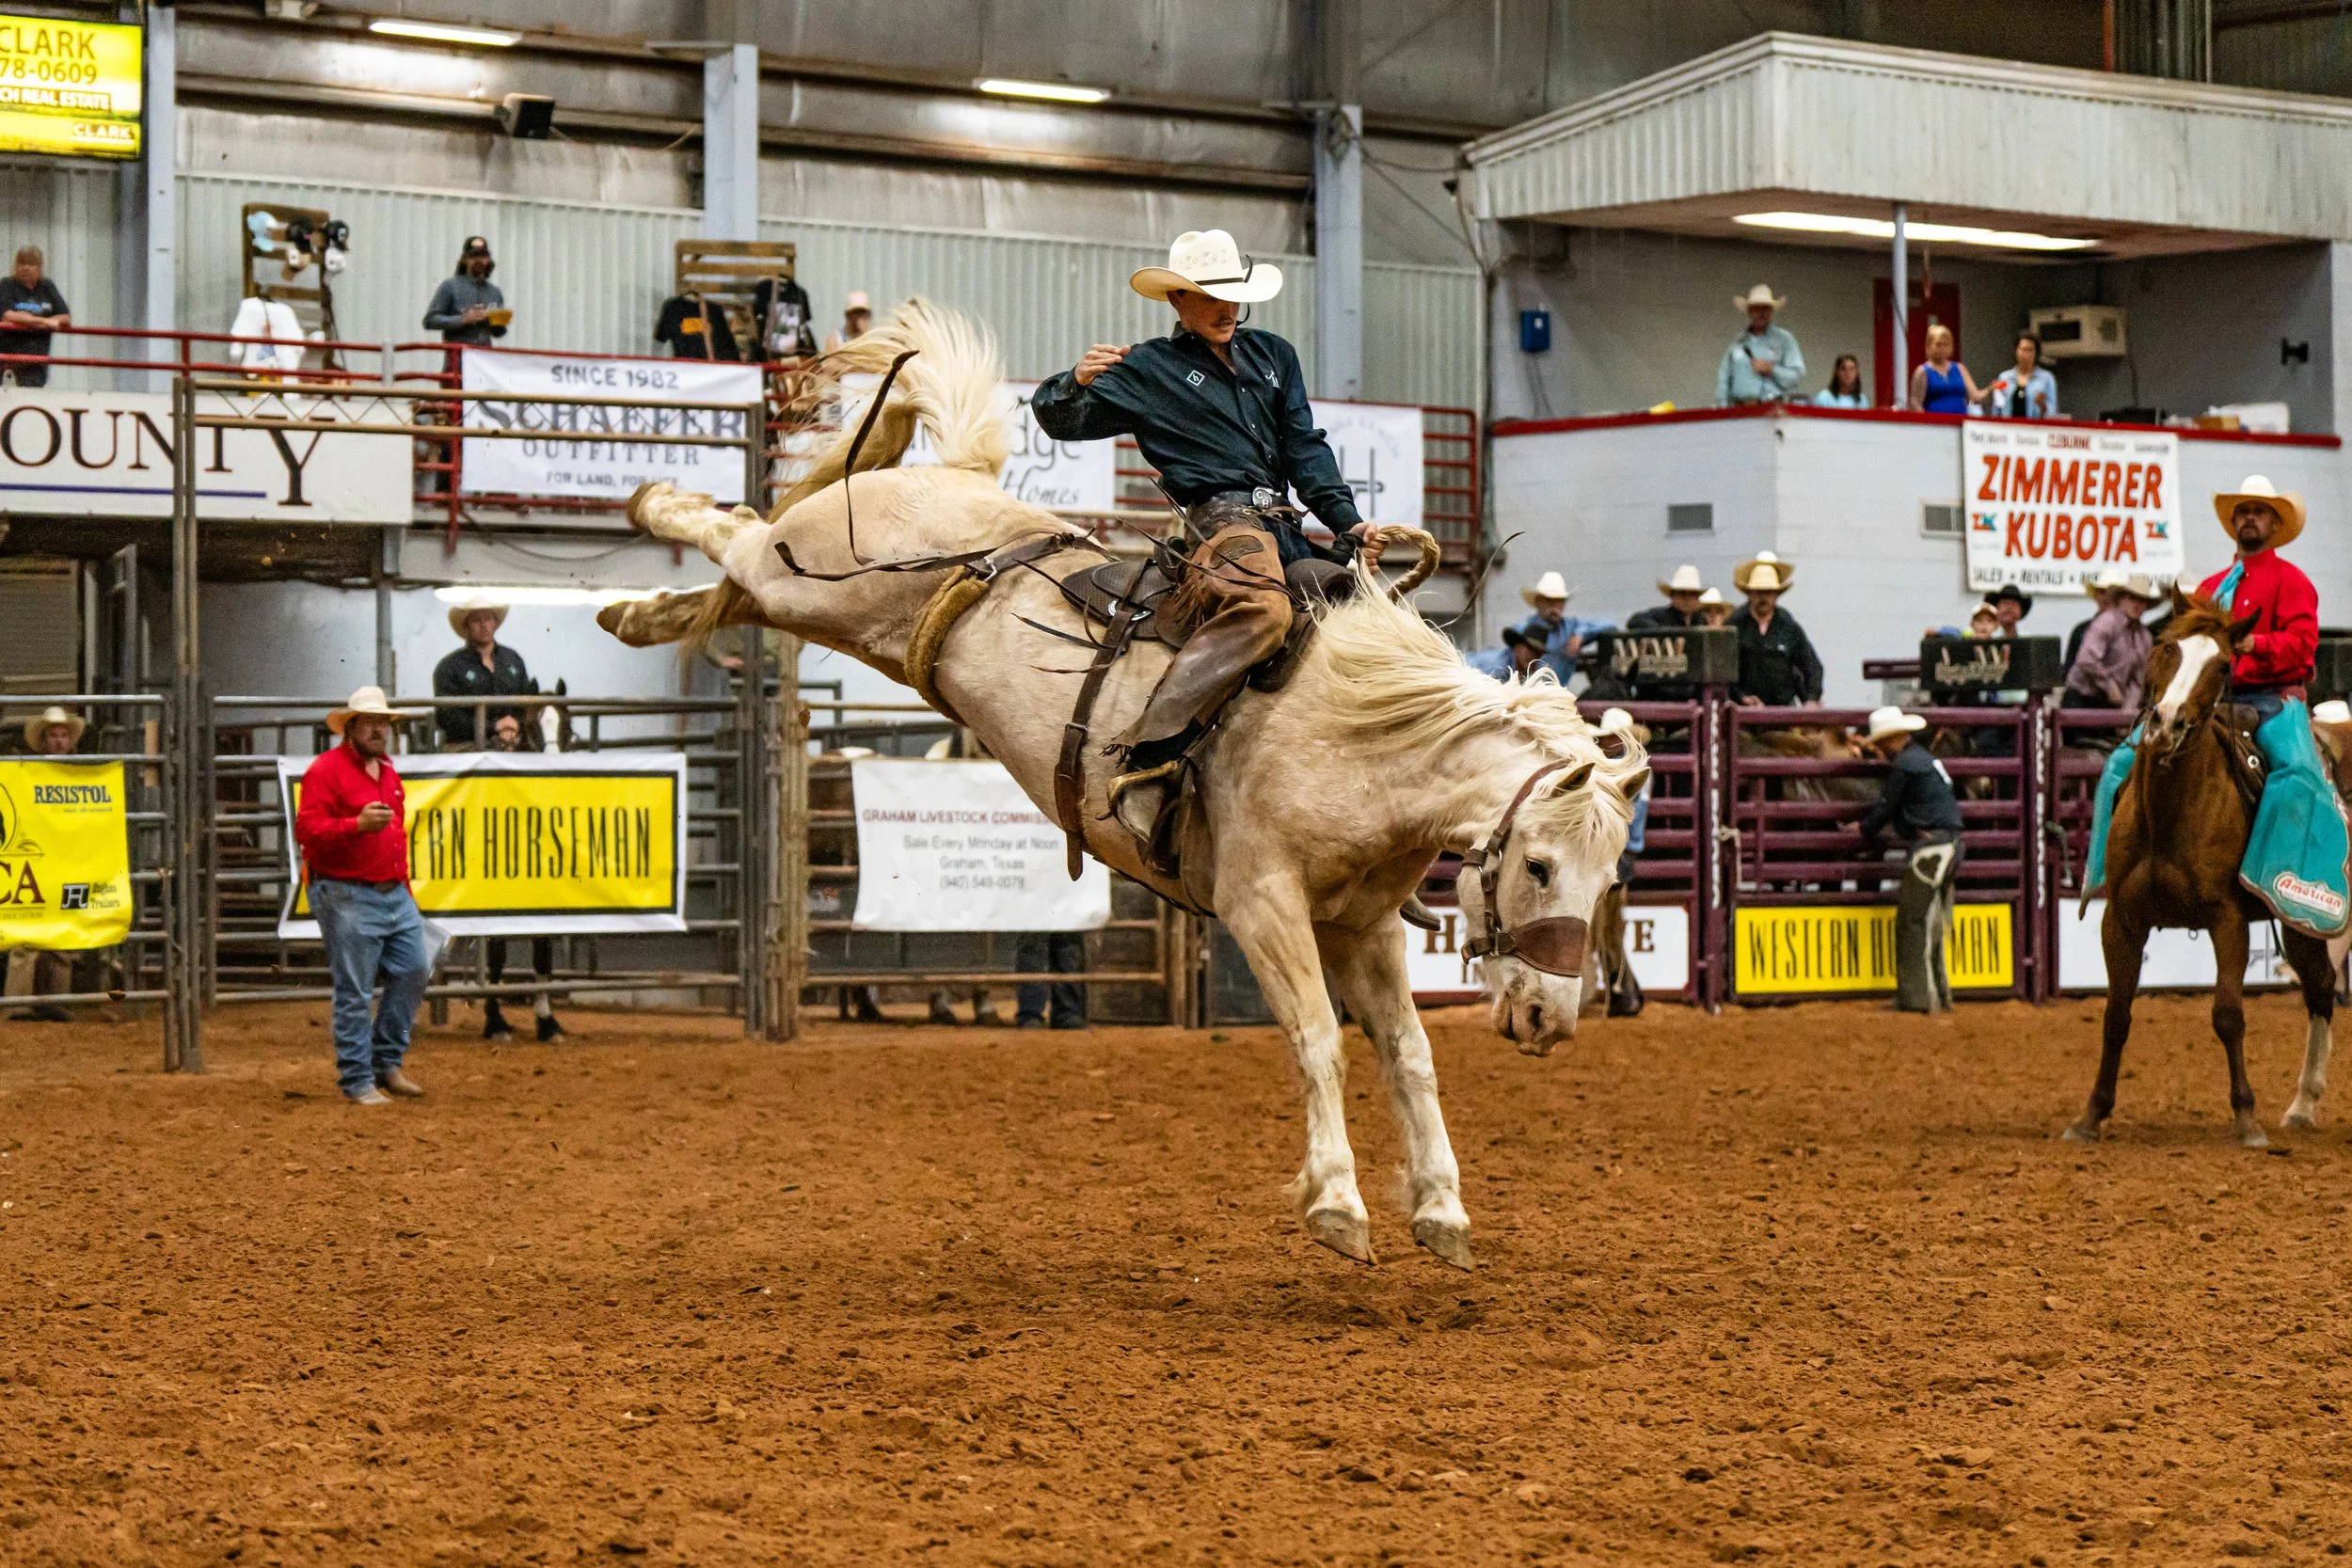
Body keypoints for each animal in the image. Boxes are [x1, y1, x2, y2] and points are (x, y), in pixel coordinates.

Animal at [598, 299, 1650, 1268]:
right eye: (1541, 866)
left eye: (1612, 882)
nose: (1551, 1019)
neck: (1361, 739)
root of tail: (957, 487)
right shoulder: (1262, 902)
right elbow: (1318, 1036)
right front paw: (1337, 1204)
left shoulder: (1363, 925)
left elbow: (1410, 1053)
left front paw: (1440, 1210)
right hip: (815, 573)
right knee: (736, 534)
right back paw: (650, 504)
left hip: (824, 604)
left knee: (734, 568)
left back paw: (638, 612)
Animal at [2064, 591, 2338, 1147]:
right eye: (2166, 646)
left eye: (2223, 665)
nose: (2167, 723)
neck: (2169, 812)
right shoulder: (2120, 919)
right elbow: (2116, 1015)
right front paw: (2091, 1115)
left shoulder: (2227, 918)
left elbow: (2228, 1014)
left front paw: (2246, 1120)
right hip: (2300, 924)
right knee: (2321, 987)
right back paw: (2302, 1107)